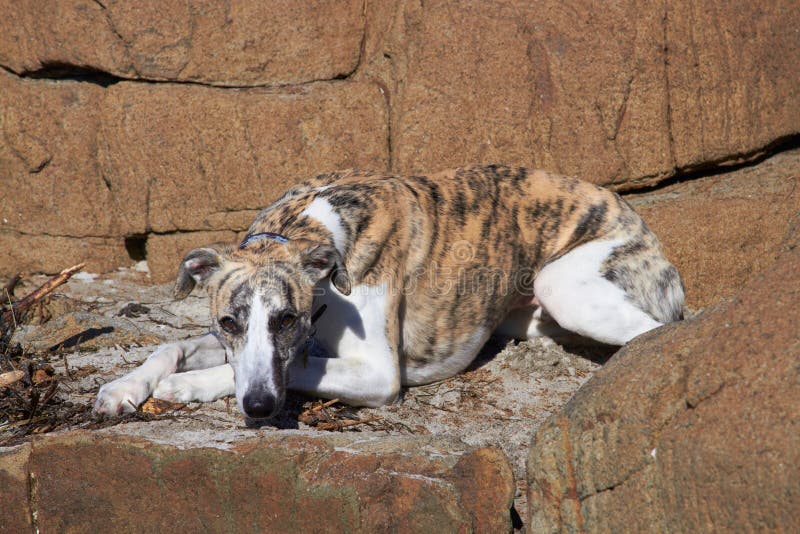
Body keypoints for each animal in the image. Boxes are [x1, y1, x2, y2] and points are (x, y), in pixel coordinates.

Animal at [92, 165, 680, 420]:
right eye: (229, 323)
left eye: (287, 319)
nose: (259, 407)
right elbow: (171, 345)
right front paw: (125, 387)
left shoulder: (378, 372)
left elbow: (301, 366)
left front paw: (187, 385)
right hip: (527, 307)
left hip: (563, 284)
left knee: (657, 331)